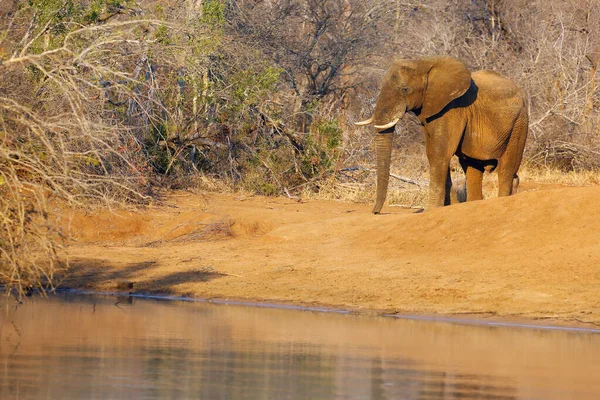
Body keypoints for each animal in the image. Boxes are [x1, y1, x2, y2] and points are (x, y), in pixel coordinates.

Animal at [354, 57, 528, 212]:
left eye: (405, 89)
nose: (375, 212)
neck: (423, 63)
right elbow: (433, 155)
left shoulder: (453, 109)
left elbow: (440, 154)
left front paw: (431, 210)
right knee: (472, 168)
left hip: (519, 123)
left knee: (506, 168)